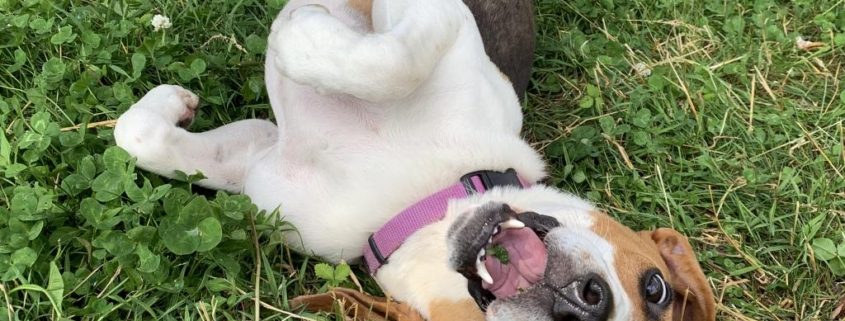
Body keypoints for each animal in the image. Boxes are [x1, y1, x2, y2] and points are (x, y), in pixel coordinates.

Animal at [112, 0, 712, 318]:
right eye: (655, 286)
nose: (583, 303)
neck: (420, 198)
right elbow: (137, 137)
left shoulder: (262, 166)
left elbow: (383, 59)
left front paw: (295, 34)